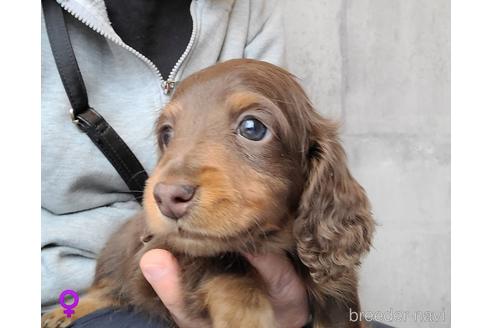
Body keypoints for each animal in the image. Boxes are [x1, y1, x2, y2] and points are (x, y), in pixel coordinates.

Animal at [42, 59, 374, 328]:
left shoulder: (337, 291)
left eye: (252, 128)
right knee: (106, 287)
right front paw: (244, 316)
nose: (167, 197)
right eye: (166, 133)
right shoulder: (169, 249)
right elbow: (228, 267)